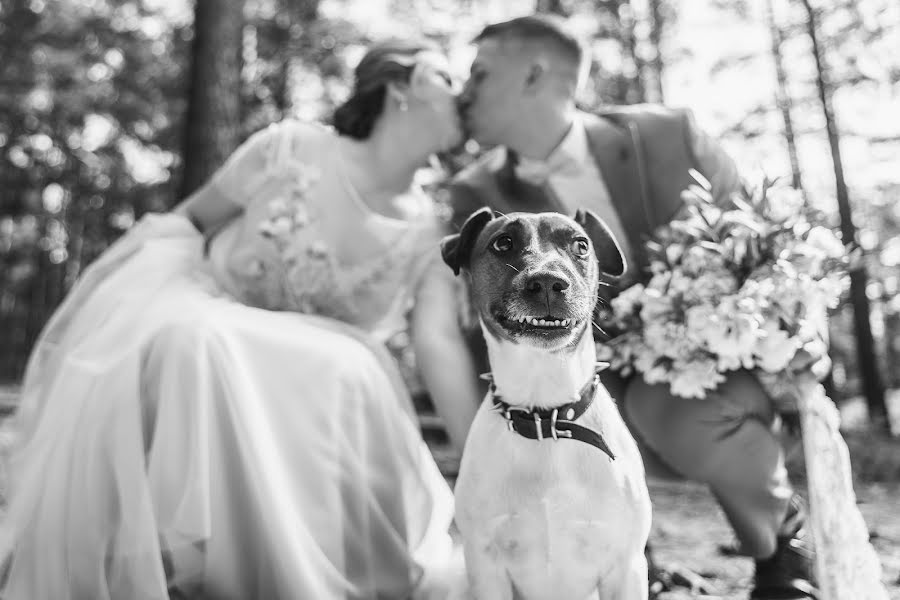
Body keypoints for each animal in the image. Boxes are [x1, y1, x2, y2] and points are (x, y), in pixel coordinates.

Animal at [442, 207, 652, 600]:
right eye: (503, 242)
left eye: (581, 245)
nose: (548, 282)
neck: (546, 417)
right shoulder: (486, 566)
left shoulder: (626, 567)